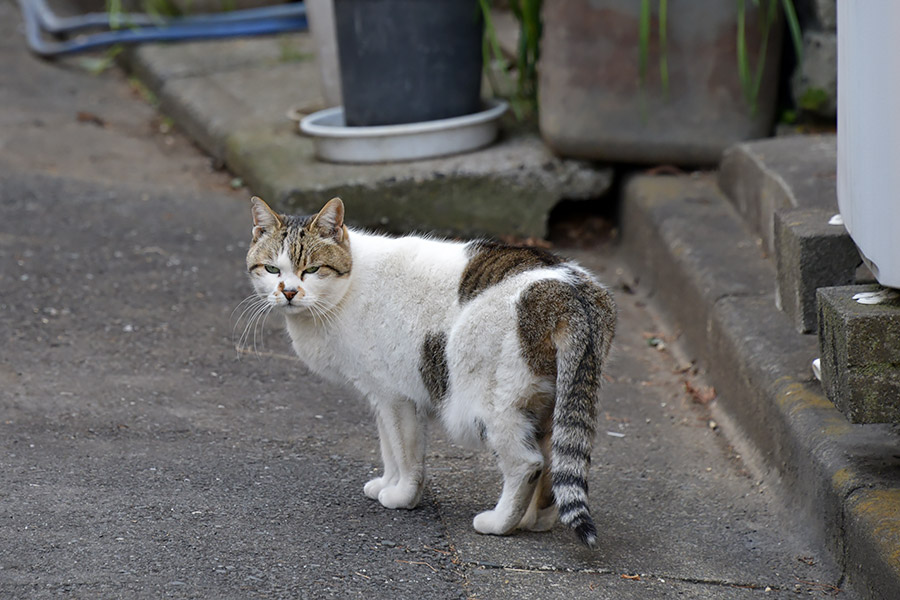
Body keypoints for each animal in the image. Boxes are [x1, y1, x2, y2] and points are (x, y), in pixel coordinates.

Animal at [243, 197, 616, 548]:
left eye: (312, 269)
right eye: (272, 269)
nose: (289, 292)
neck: (346, 290)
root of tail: (571, 292)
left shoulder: (395, 396)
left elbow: (406, 455)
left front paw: (402, 496)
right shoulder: (380, 396)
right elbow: (388, 448)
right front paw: (386, 483)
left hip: (491, 403)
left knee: (527, 464)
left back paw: (499, 523)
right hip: (550, 404)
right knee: (555, 462)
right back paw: (533, 520)